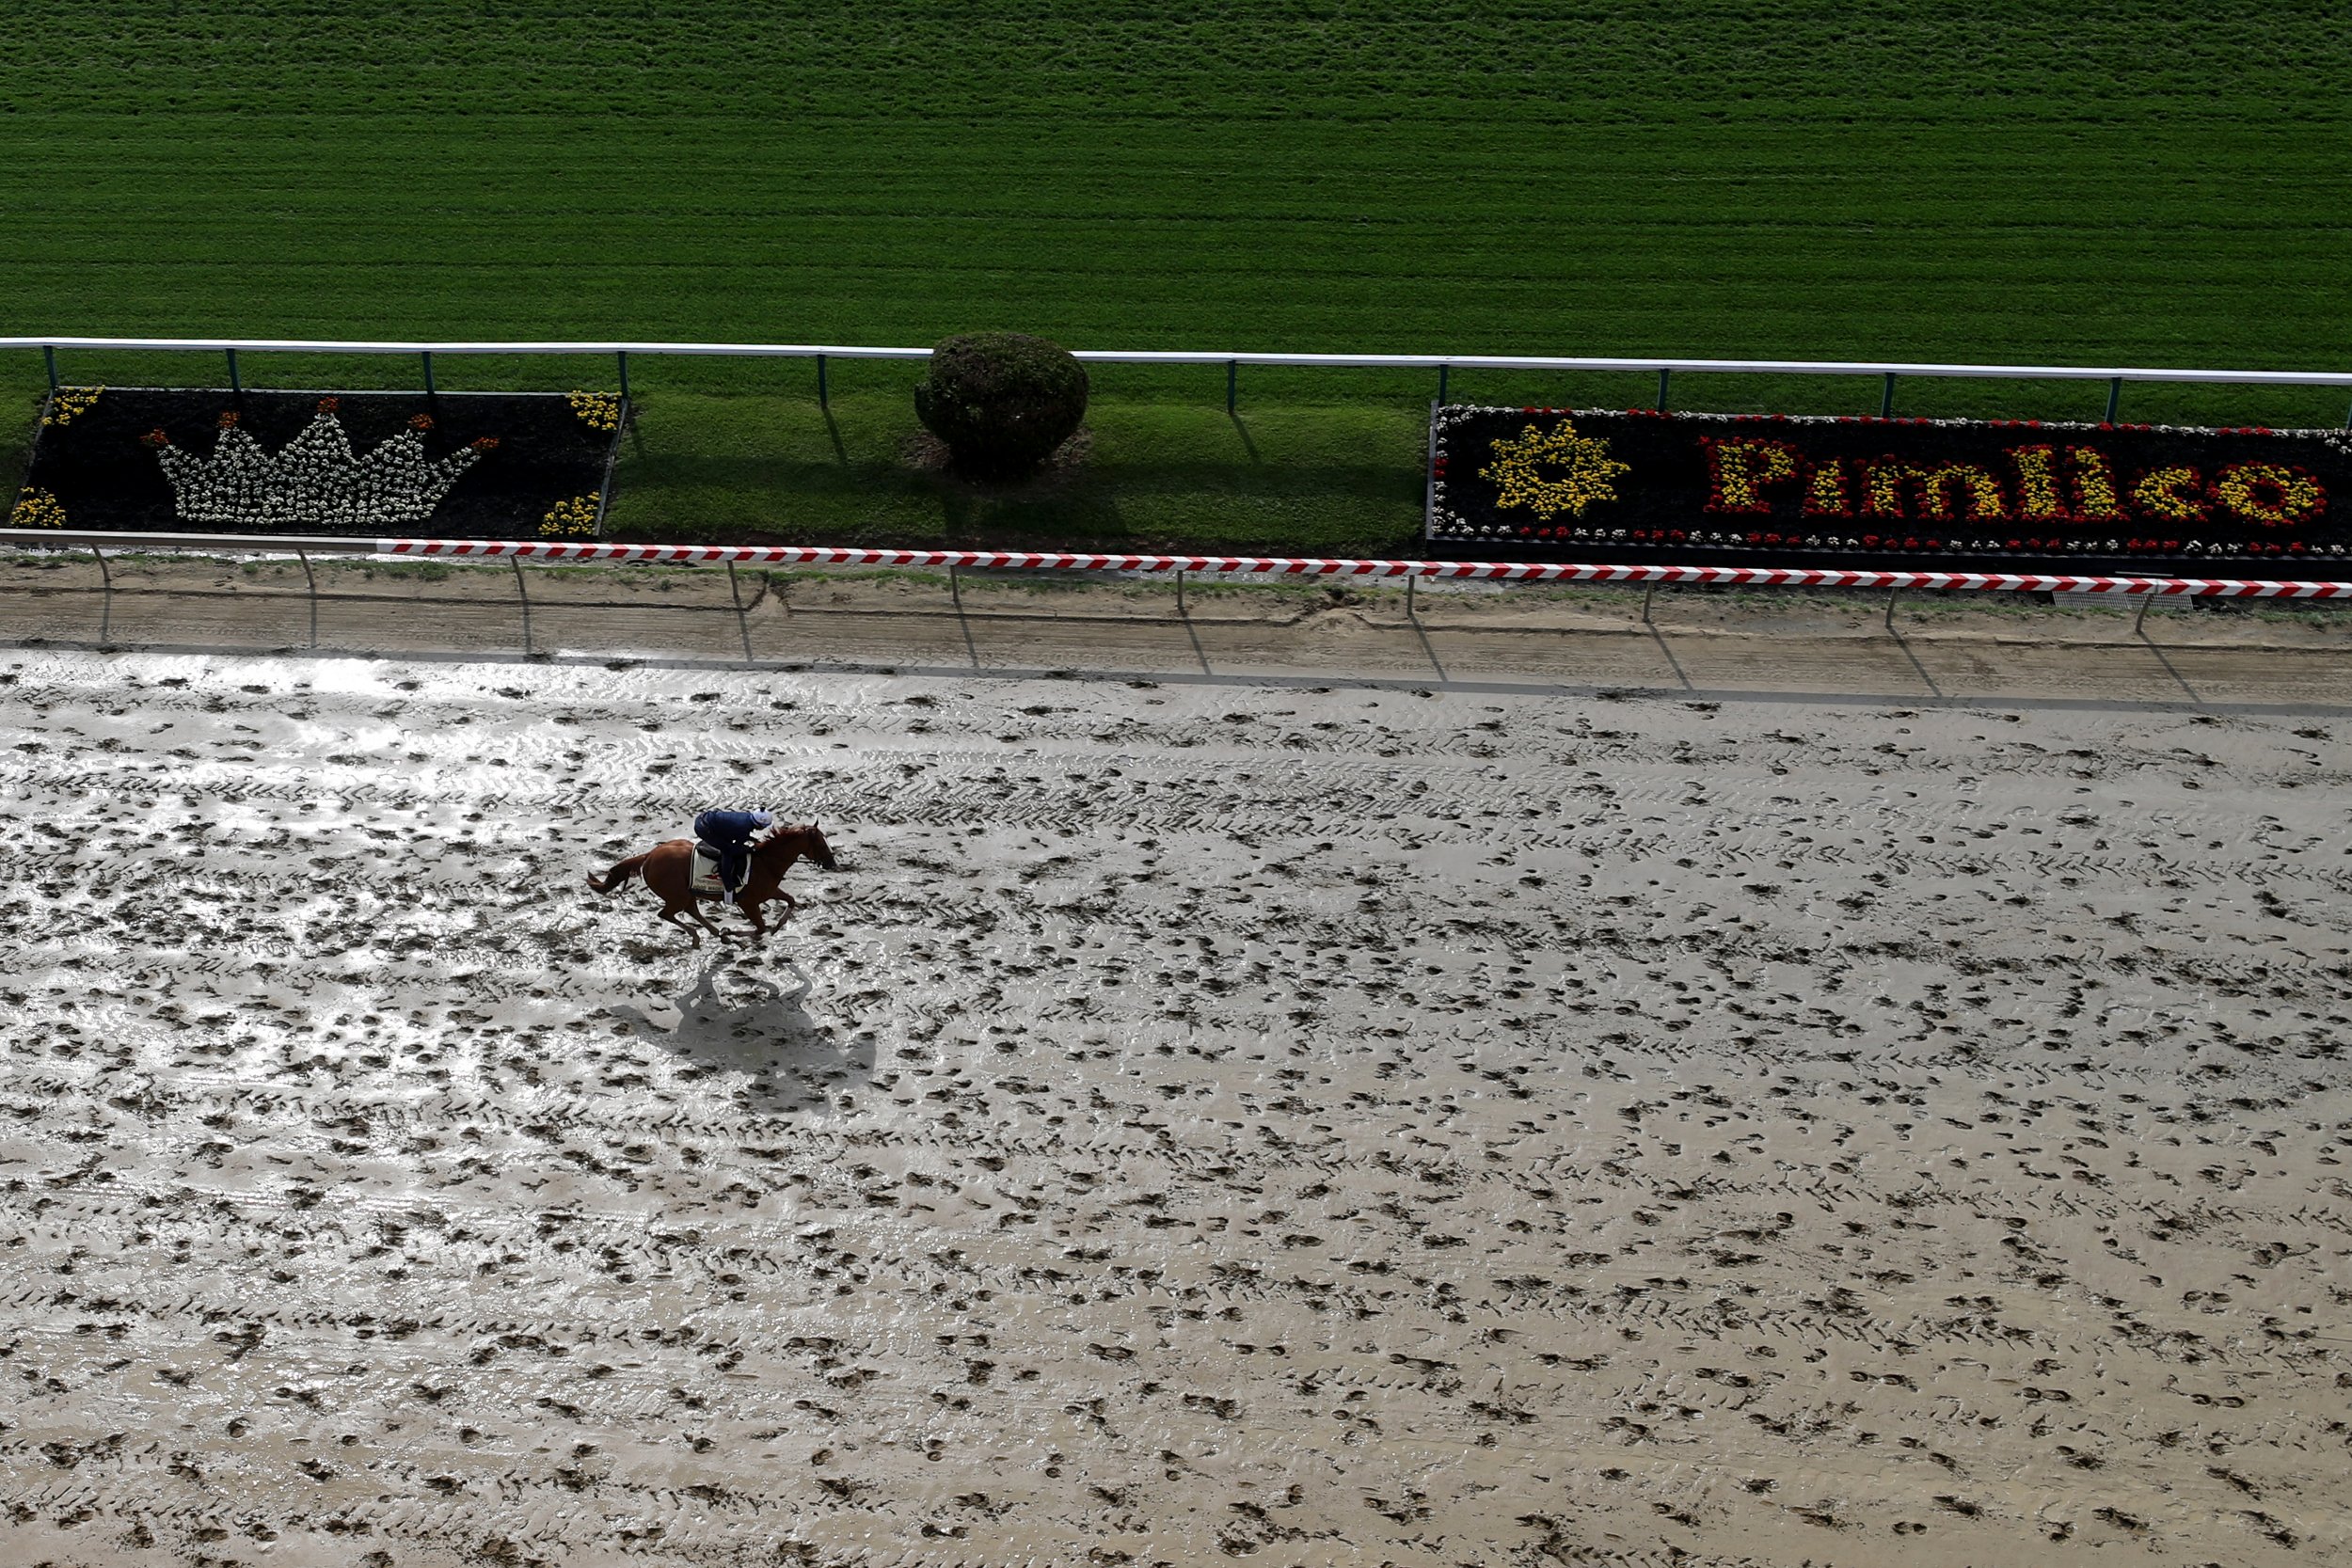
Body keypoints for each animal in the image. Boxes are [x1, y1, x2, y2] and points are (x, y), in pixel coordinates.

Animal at [585, 827, 837, 949]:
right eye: (821, 842)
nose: (832, 863)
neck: (766, 861)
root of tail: (649, 856)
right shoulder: (749, 902)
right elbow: (759, 929)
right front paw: (733, 932)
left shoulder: (768, 891)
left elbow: (791, 901)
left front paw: (778, 926)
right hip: (677, 895)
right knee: (667, 914)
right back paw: (705, 936)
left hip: (686, 893)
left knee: (691, 911)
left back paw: (715, 934)